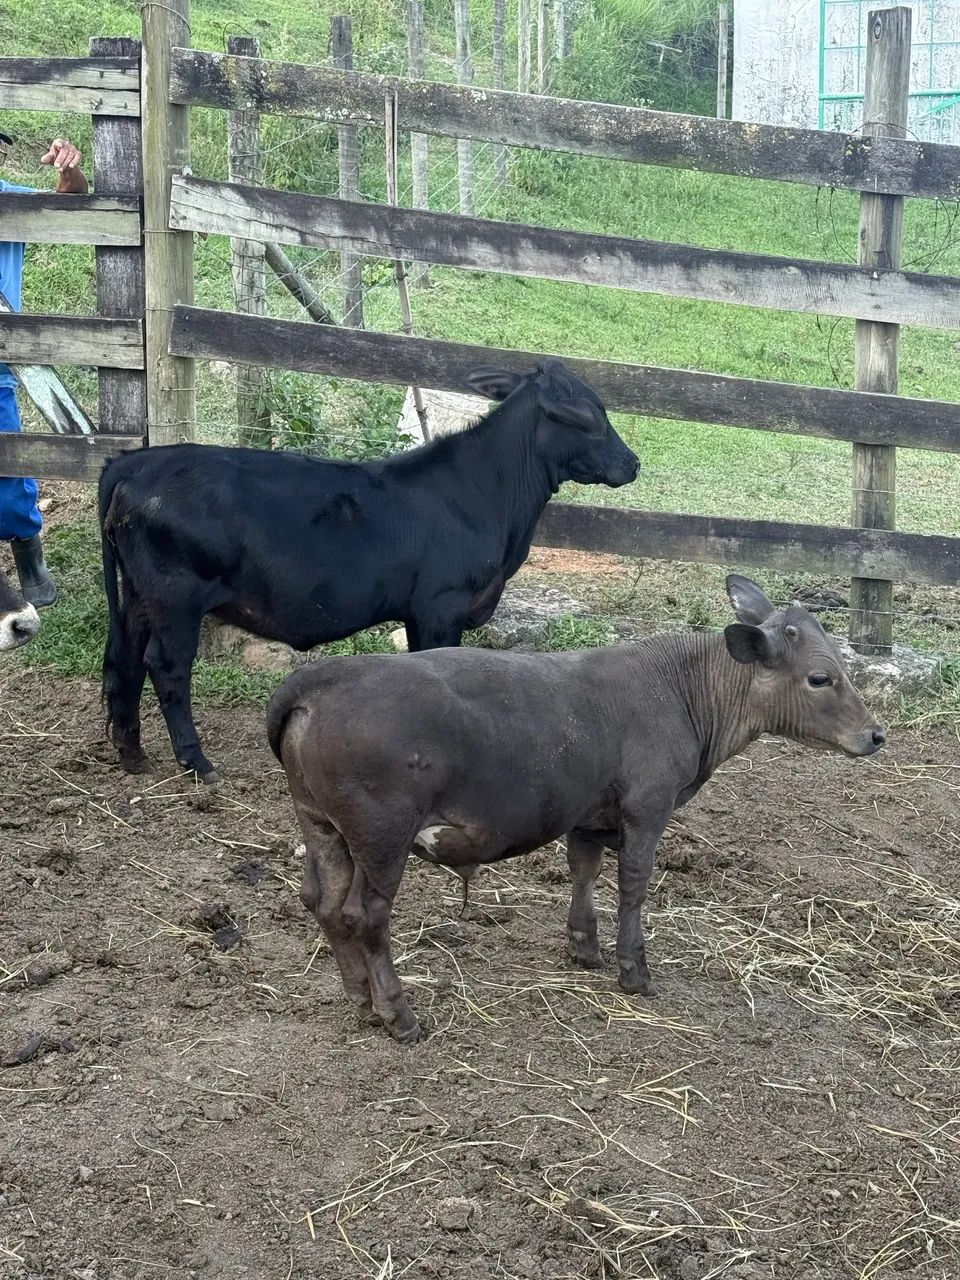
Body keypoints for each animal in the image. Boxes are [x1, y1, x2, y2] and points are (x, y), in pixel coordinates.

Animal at [99, 359, 638, 783]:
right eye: (588, 414)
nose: (632, 463)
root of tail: (135, 462)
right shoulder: (440, 607)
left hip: (138, 596)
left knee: (124, 658)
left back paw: (132, 752)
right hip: (175, 598)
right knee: (166, 666)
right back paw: (197, 762)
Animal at [267, 574, 885, 1044]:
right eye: (821, 677)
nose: (876, 734)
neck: (682, 689)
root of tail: (322, 676)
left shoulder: (589, 813)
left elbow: (583, 872)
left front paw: (583, 946)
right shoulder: (648, 807)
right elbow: (633, 885)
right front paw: (633, 969)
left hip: (322, 825)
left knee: (323, 903)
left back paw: (359, 998)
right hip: (382, 836)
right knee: (365, 916)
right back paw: (397, 1013)